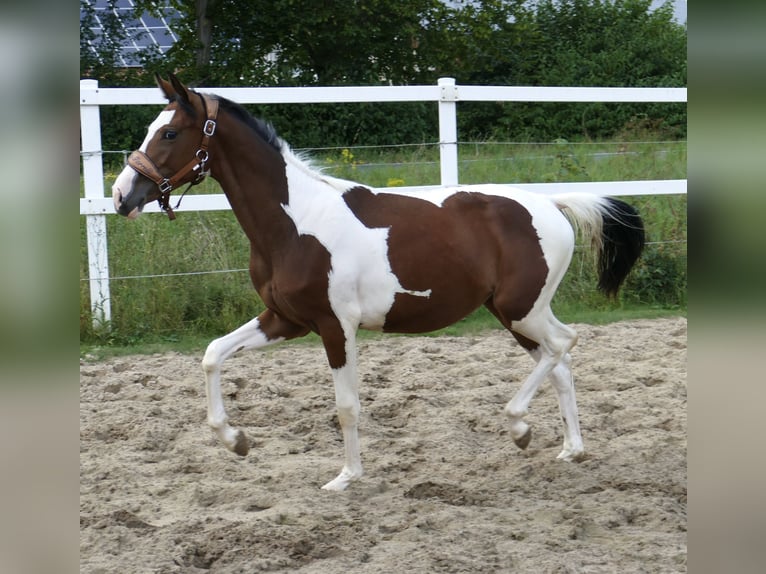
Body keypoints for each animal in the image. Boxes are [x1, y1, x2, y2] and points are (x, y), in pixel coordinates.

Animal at [112, 74, 645, 491]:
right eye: (152, 129)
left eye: (171, 132)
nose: (121, 196)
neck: (295, 224)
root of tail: (551, 204)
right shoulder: (284, 319)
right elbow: (212, 354)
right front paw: (237, 441)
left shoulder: (335, 326)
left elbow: (347, 406)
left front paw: (346, 477)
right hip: (514, 312)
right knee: (560, 360)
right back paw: (570, 449)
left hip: (520, 309)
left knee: (564, 344)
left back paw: (520, 428)